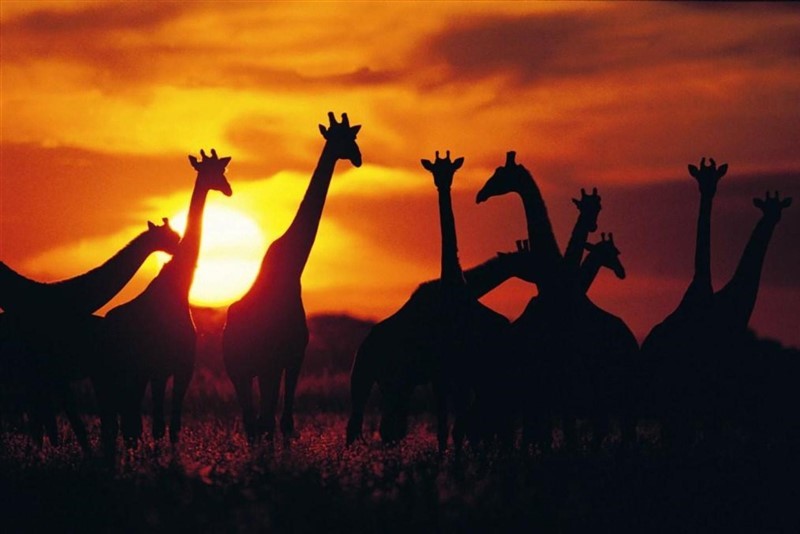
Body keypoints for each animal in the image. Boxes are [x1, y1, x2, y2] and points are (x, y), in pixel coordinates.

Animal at [97, 149, 232, 452]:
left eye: (222, 170)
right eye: (211, 171)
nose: (228, 189)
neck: (177, 290)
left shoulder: (182, 368)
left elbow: (172, 427)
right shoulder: (159, 369)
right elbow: (159, 426)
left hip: (132, 375)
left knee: (126, 419)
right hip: (119, 373)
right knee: (118, 418)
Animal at [223, 113, 360, 442]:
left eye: (353, 137)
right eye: (342, 139)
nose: (359, 158)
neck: (292, 268)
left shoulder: (286, 360)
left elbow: (280, 421)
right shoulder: (284, 359)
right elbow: (278, 421)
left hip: (247, 370)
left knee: (254, 421)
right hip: (250, 368)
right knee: (259, 420)